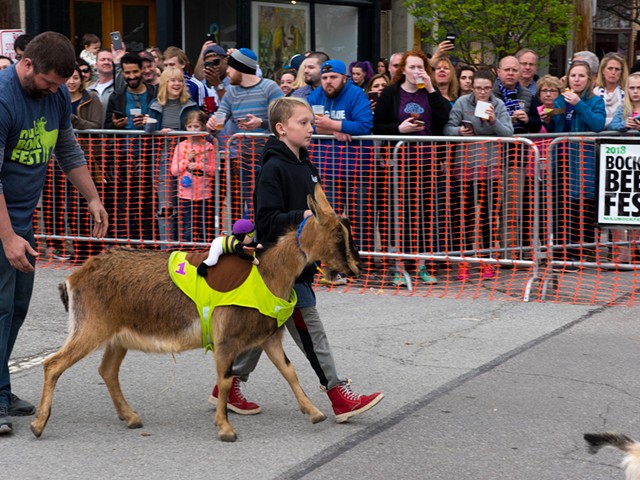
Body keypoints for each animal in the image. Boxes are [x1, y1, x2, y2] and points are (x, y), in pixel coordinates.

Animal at [30, 184, 360, 442]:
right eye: (338, 234)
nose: (355, 268)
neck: (267, 274)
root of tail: (74, 278)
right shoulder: (226, 339)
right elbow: (225, 379)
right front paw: (226, 429)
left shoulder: (268, 337)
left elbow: (289, 370)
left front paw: (315, 412)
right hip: (91, 327)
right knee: (53, 364)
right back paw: (38, 424)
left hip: (117, 336)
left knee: (107, 370)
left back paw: (131, 416)